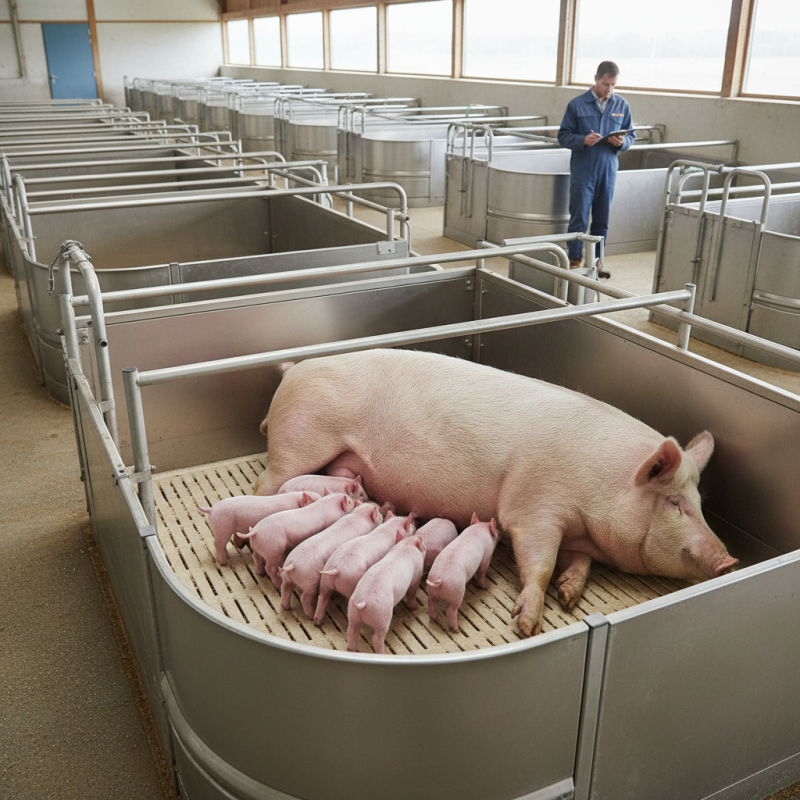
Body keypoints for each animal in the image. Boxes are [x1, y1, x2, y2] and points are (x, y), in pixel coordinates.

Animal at [252, 349, 738, 637]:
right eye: (674, 503)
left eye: (699, 503)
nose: (729, 561)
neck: (600, 489)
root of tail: (292, 371)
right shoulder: (533, 506)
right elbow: (538, 563)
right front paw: (526, 624)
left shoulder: (578, 534)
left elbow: (577, 564)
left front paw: (568, 595)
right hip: (297, 444)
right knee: (264, 486)